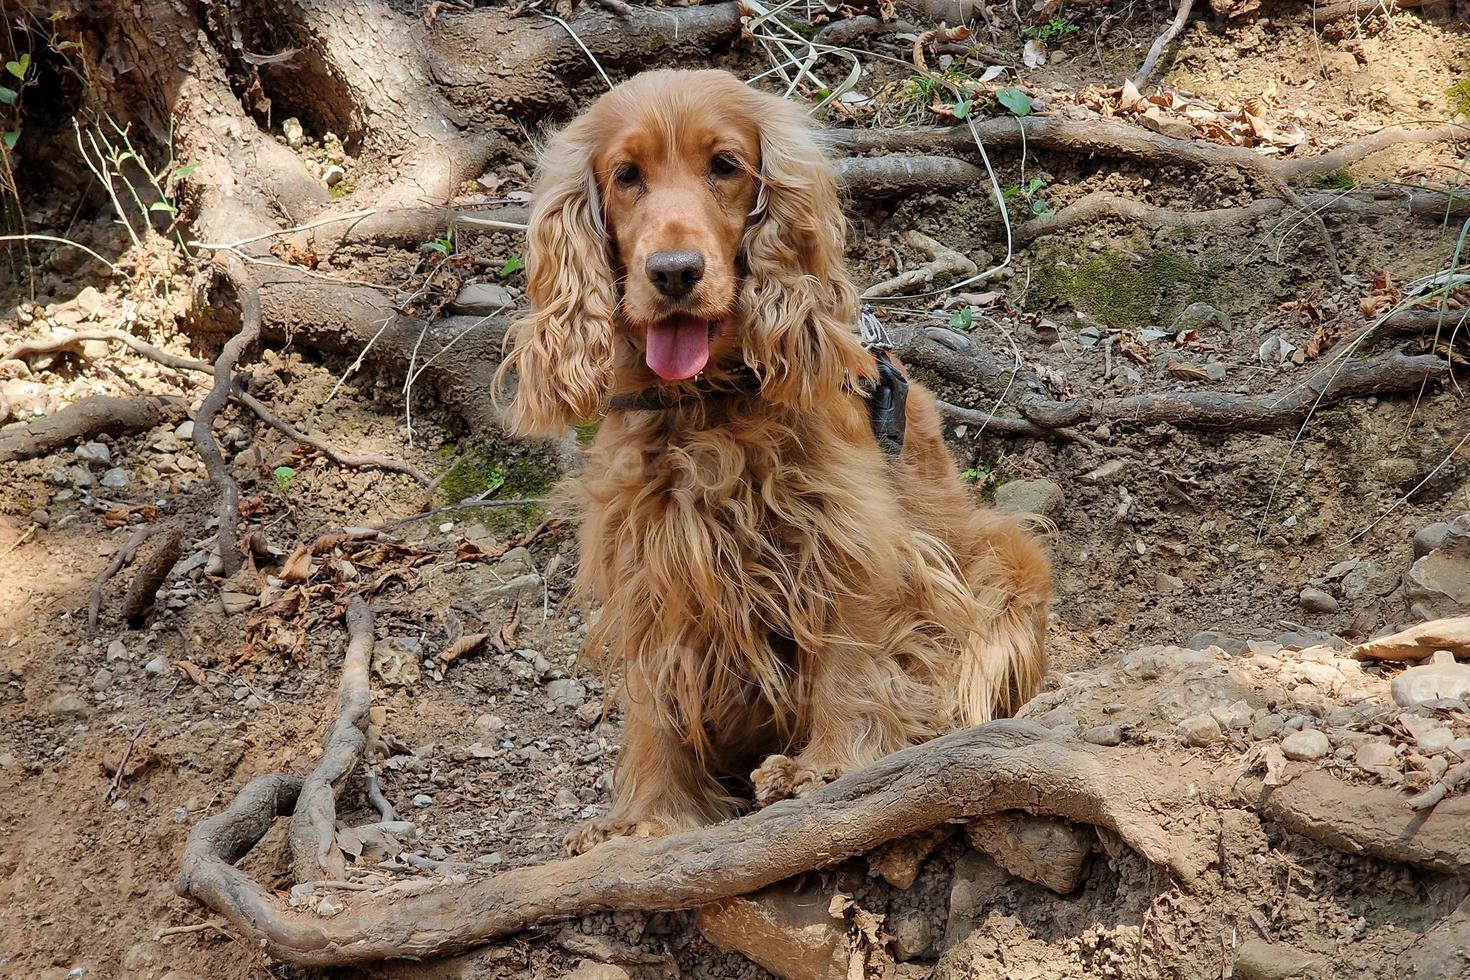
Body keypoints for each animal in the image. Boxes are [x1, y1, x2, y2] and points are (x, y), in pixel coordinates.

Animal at [499, 69, 1052, 852]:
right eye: (626, 176)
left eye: (725, 165)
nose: (674, 272)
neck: (704, 404)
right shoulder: (651, 559)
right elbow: (655, 698)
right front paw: (648, 816)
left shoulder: (847, 535)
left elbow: (851, 654)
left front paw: (827, 767)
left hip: (1006, 557)